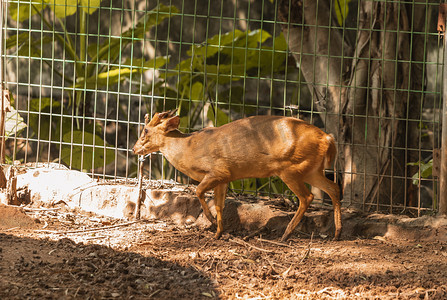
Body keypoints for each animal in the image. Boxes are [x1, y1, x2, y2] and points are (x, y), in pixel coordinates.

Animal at [133, 109, 344, 241]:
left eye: (145, 130)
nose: (134, 149)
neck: (188, 148)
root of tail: (328, 139)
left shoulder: (218, 170)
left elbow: (199, 191)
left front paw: (210, 221)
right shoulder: (225, 178)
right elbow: (220, 205)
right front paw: (218, 232)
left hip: (290, 169)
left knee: (307, 197)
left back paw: (286, 235)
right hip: (311, 170)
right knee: (334, 188)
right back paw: (336, 234)